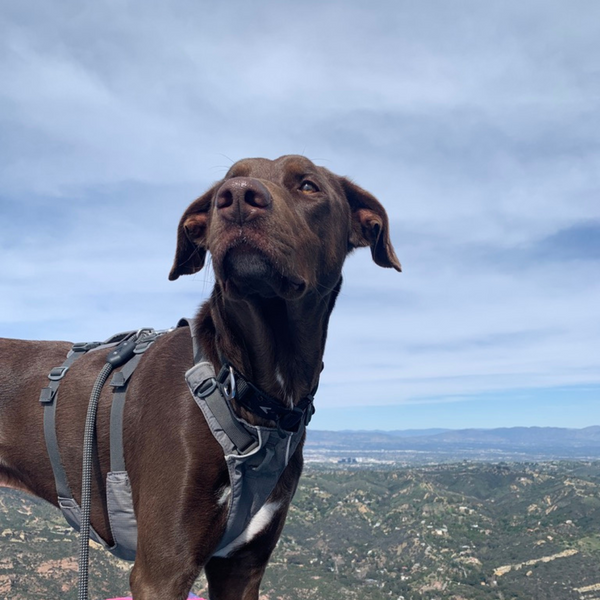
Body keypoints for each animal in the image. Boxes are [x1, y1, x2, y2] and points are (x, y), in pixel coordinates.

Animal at [1, 156, 404, 600]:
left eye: (308, 185)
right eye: (222, 189)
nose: (238, 198)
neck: (242, 385)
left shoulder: (242, 566)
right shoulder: (162, 571)